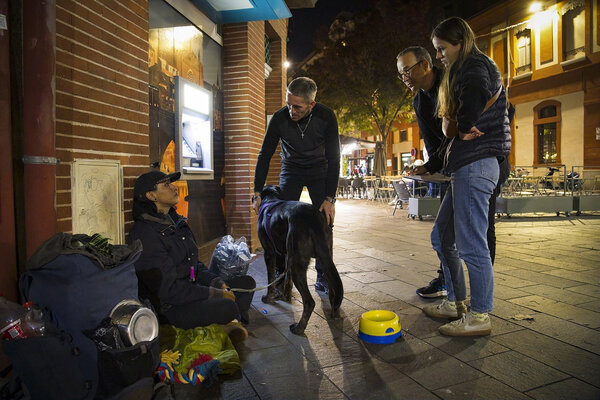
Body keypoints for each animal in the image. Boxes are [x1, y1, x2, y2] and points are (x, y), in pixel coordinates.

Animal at [256, 185, 342, 334]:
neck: (272, 198)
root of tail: (313, 219)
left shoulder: (269, 253)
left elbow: (271, 280)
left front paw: (269, 297)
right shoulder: (287, 256)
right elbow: (287, 280)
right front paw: (285, 296)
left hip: (298, 265)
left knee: (309, 302)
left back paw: (299, 328)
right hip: (325, 259)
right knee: (332, 290)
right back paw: (334, 314)